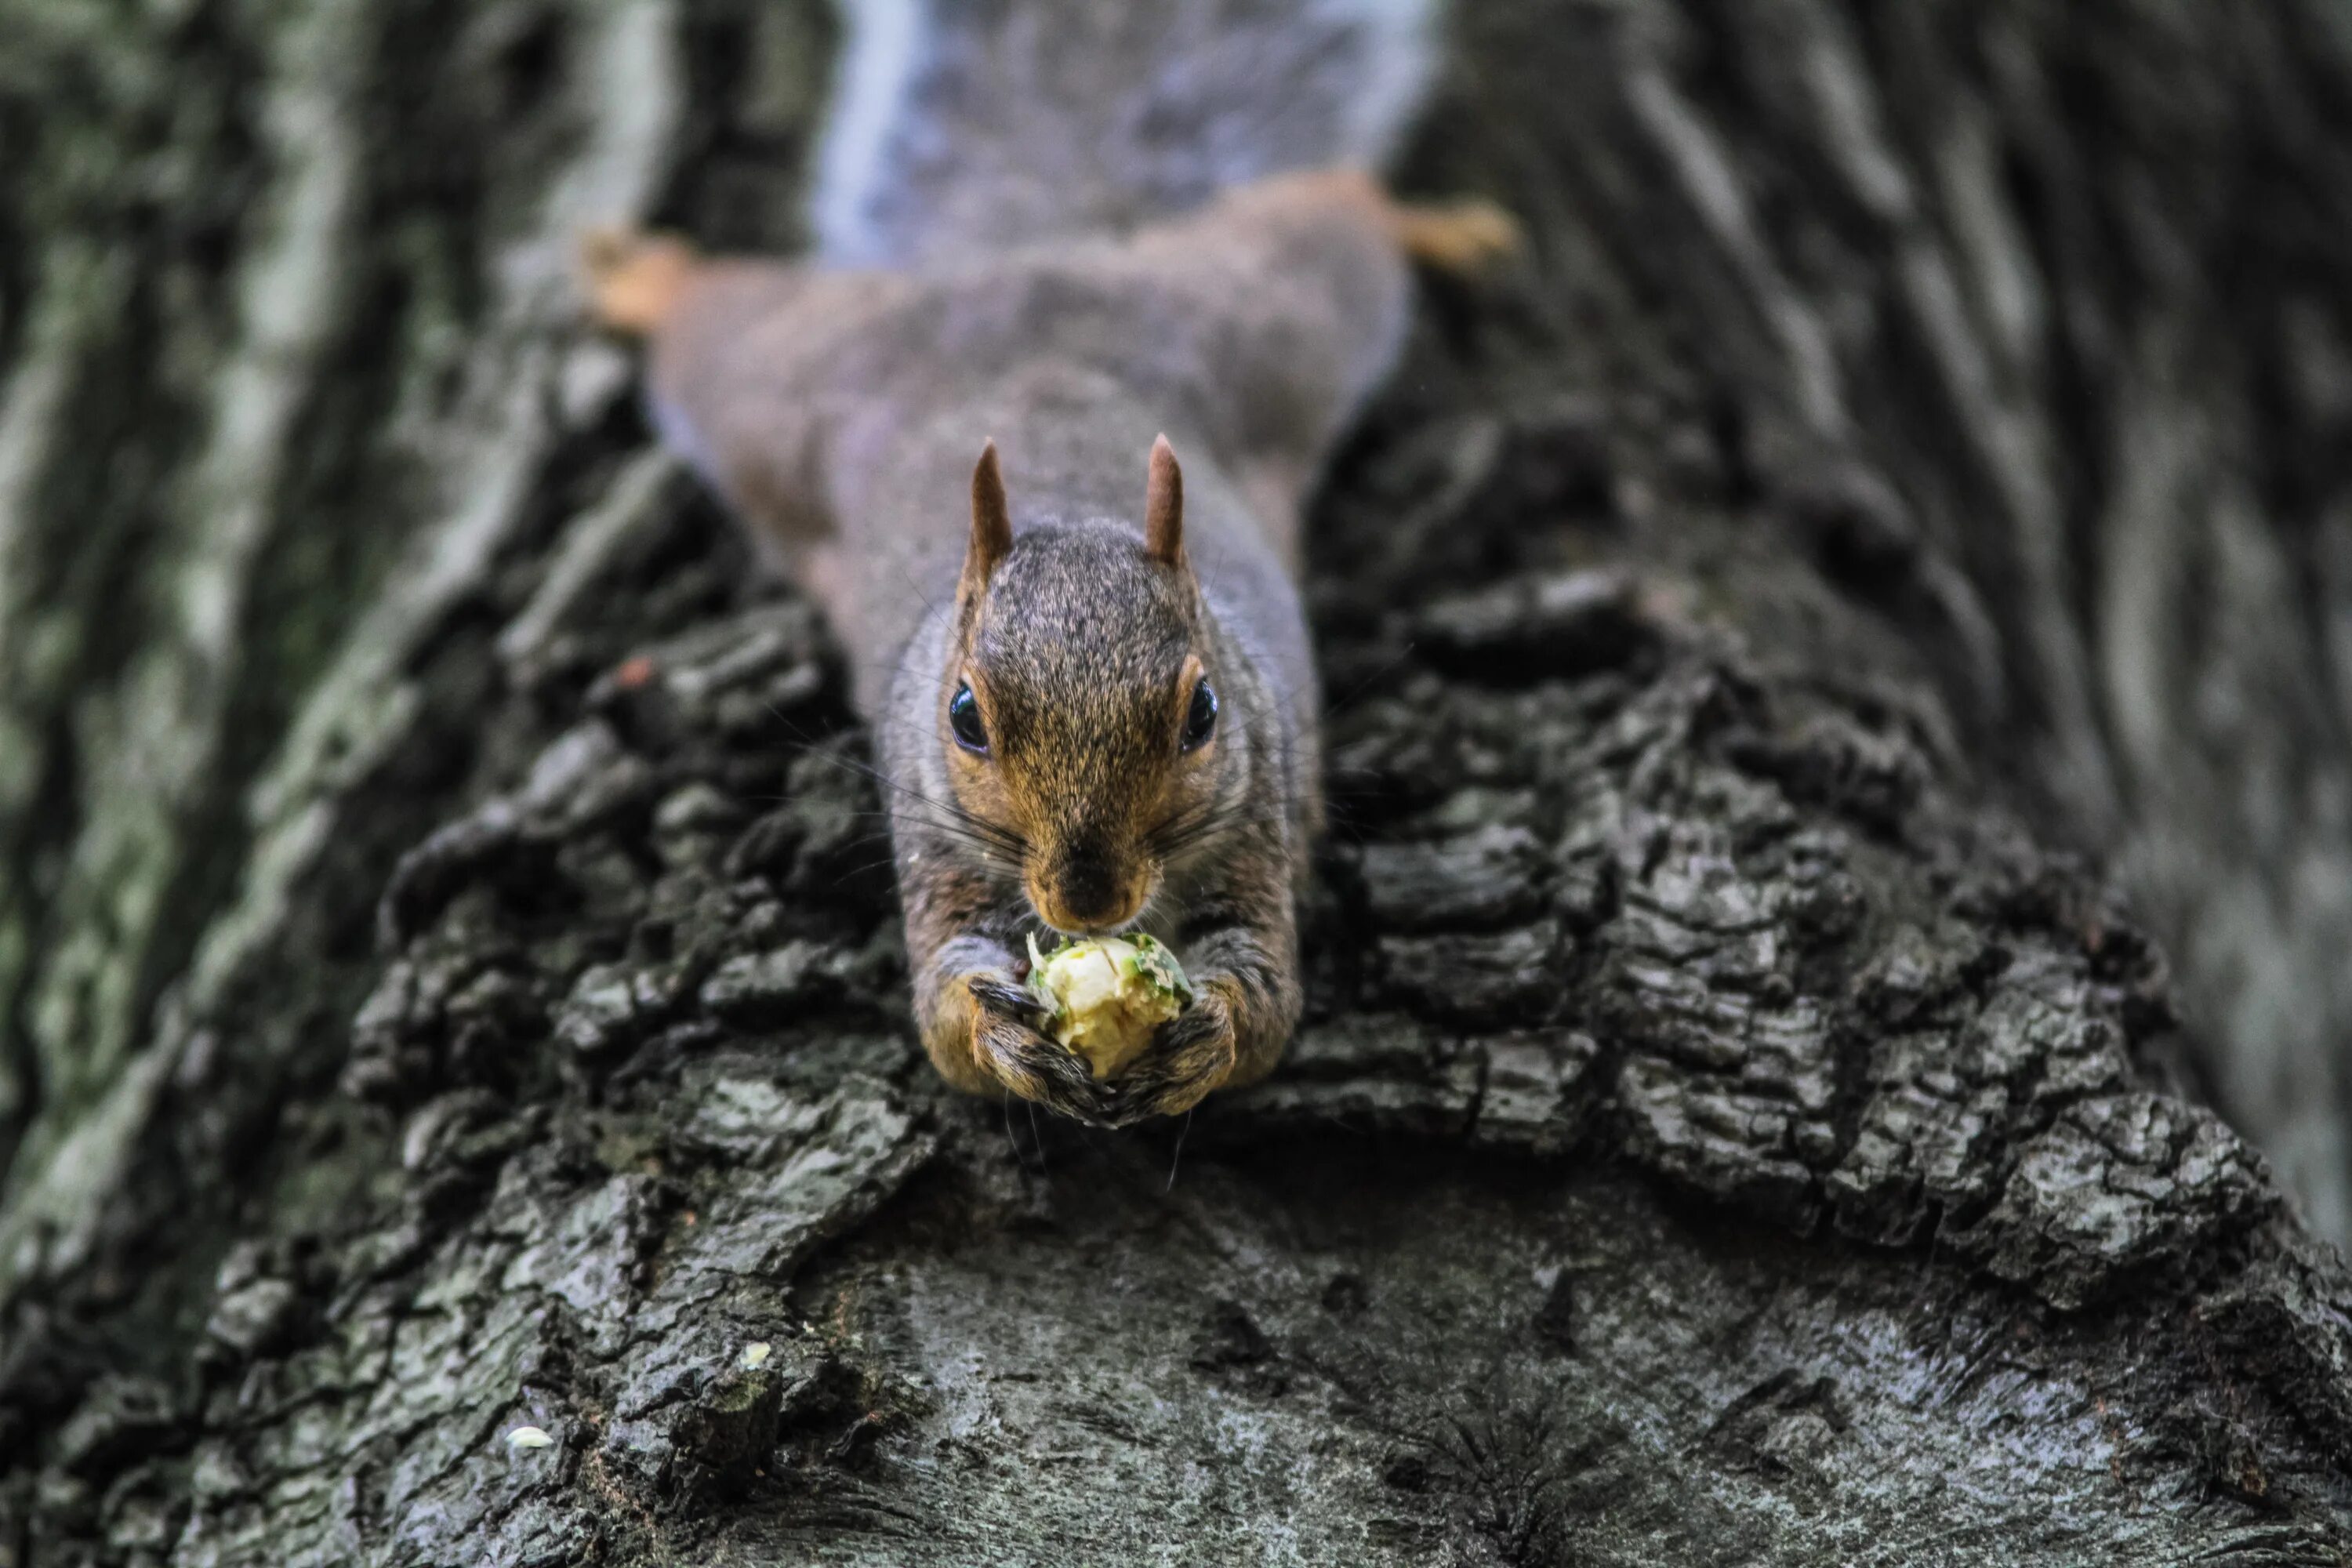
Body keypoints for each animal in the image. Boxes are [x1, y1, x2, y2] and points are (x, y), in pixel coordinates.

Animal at [581, 0, 1515, 1128]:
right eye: (964, 717)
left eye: (1204, 714)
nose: (1088, 901)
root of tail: (1032, 259)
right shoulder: (937, 845)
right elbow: (943, 1014)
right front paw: (999, 1031)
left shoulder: (1258, 819)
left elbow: (1269, 999)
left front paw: (1209, 1032)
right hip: (782, 388)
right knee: (713, 322)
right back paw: (642, 275)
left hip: (1273, 318)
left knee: (1338, 212)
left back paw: (1443, 227)